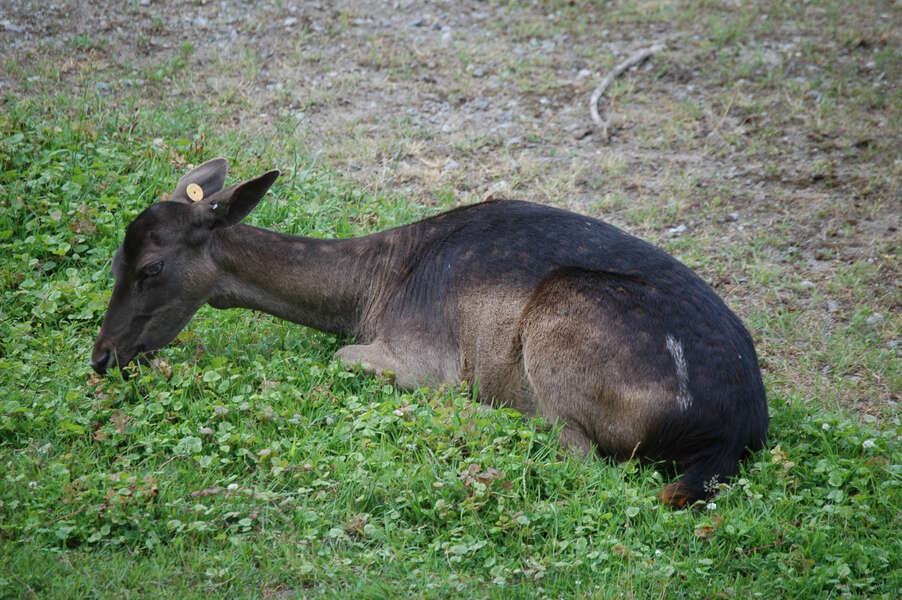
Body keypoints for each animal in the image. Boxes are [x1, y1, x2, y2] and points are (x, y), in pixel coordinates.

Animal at [92, 158, 768, 506]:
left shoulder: (419, 352)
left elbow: (347, 357)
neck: (368, 292)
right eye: (115, 259)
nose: (103, 355)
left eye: (151, 268)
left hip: (565, 325)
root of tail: (735, 430)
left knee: (578, 452)